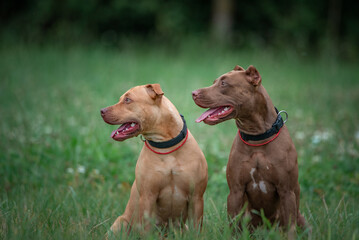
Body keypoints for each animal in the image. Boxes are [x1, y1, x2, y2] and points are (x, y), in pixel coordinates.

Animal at [100, 84, 208, 234]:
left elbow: (196, 228)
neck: (166, 146)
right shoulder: (147, 197)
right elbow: (146, 228)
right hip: (121, 223)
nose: (101, 111)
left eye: (127, 99)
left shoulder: (196, 197)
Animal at [193, 65, 308, 231]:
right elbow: (234, 226)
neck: (257, 136)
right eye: (214, 82)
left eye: (224, 83)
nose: (193, 93)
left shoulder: (287, 191)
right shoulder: (235, 191)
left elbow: (290, 228)